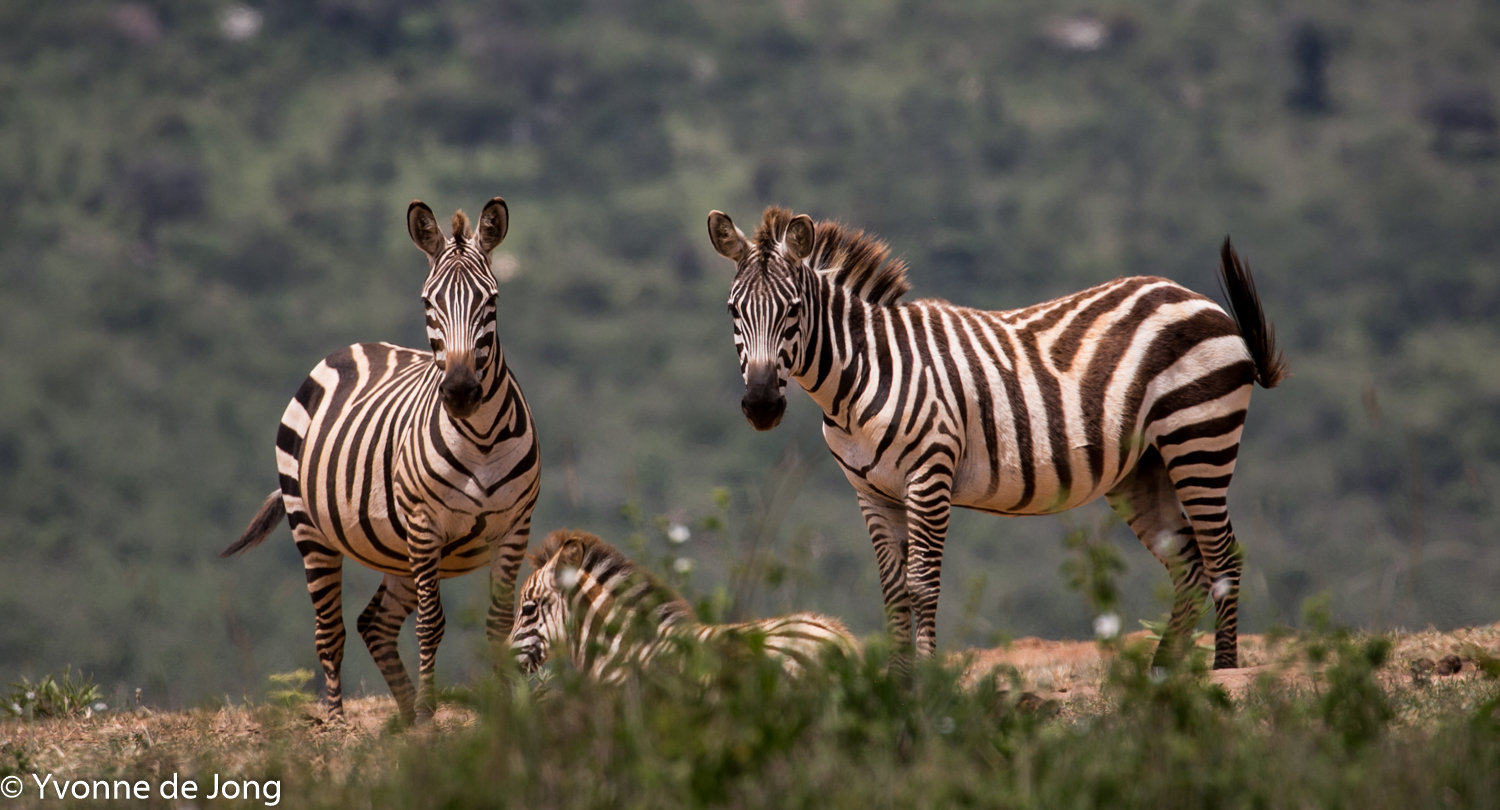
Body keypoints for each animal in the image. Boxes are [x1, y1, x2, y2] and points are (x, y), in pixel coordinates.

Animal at [222, 198, 541, 724]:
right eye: (428, 304)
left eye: (491, 302)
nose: (460, 392)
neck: (480, 439)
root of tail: (354, 347)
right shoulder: (426, 525)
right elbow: (432, 624)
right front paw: (431, 713)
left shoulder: (515, 528)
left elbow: (499, 625)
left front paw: (503, 711)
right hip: (313, 529)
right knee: (330, 631)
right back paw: (338, 720)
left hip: (398, 549)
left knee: (374, 623)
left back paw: (406, 714)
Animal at [706, 206, 1286, 671]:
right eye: (733, 310)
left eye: (793, 310)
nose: (761, 406)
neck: (863, 375)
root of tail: (1195, 298)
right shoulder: (871, 493)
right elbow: (893, 592)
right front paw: (894, 684)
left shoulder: (930, 475)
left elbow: (923, 585)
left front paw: (923, 680)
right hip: (1143, 469)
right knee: (1189, 564)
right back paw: (1164, 672)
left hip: (1199, 438)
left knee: (1223, 556)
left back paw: (1224, 670)